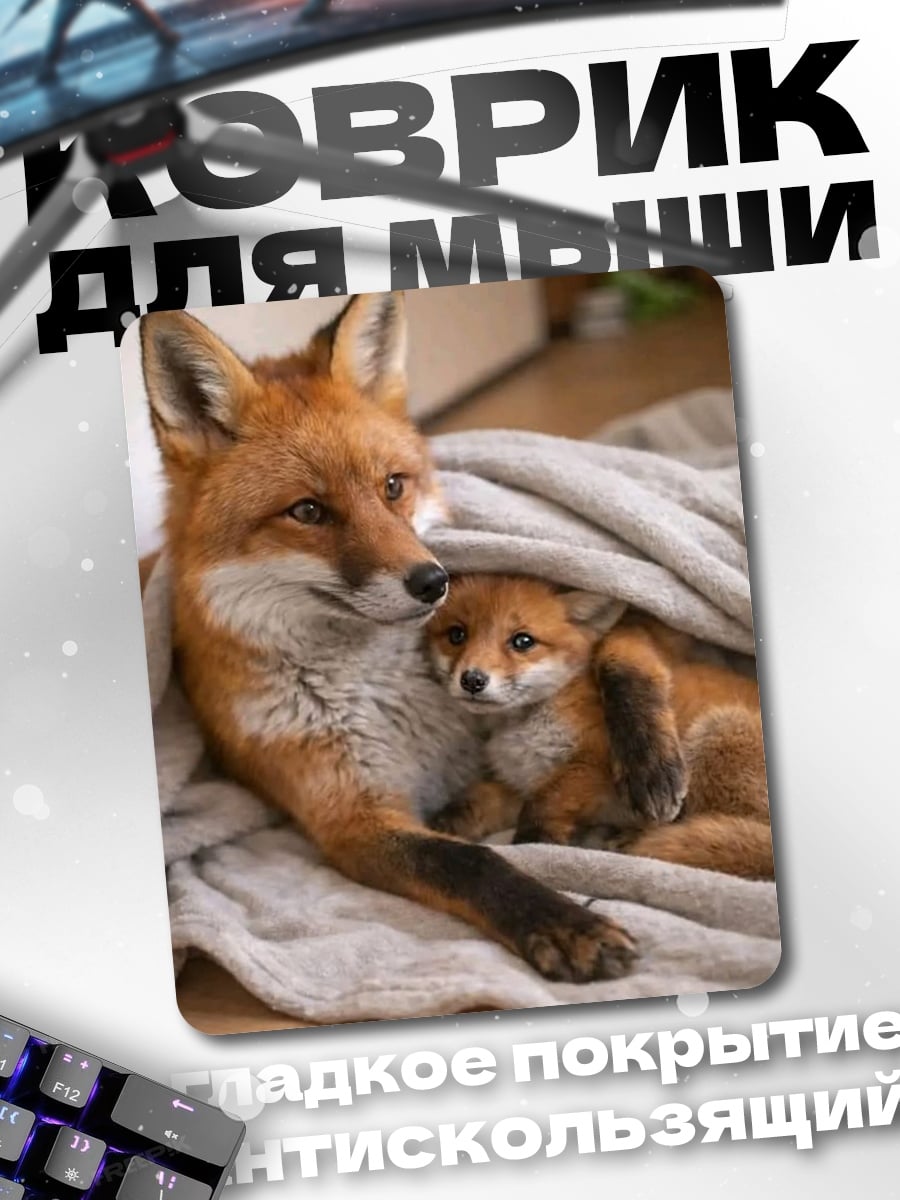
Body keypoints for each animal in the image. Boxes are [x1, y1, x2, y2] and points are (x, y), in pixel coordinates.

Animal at [138, 293, 638, 984]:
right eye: (308, 512)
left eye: (394, 486)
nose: (434, 582)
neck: (382, 700)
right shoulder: (353, 820)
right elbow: (473, 861)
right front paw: (562, 921)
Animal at [427, 574, 774, 881]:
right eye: (457, 635)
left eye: (522, 641)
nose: (472, 680)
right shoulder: (521, 781)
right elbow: (477, 799)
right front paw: (443, 825)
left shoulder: (592, 764)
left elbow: (544, 805)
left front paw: (536, 845)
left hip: (715, 734)